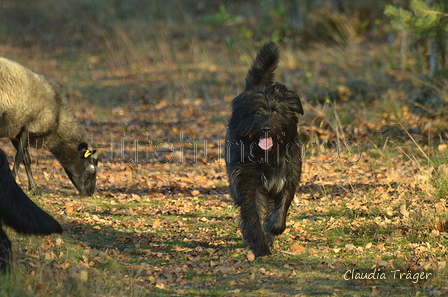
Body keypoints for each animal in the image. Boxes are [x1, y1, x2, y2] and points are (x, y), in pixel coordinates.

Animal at [0, 57, 97, 197]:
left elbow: (26, 160)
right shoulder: (29, 130)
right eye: (92, 167)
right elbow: (19, 159)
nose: (90, 193)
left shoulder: (17, 134)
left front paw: (34, 188)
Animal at [226, 41, 302, 256]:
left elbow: (280, 211)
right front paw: (260, 246)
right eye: (256, 112)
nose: (265, 128)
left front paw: (272, 229)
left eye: (276, 111)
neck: (268, 157)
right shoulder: (248, 185)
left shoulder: (288, 179)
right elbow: (252, 217)